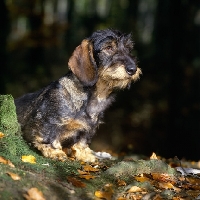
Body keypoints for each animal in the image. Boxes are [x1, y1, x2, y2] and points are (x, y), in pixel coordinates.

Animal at [14, 28, 141, 162]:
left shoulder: (87, 130)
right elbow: (47, 136)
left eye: (128, 49)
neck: (94, 97)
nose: (133, 69)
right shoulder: (47, 121)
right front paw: (55, 152)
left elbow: (82, 142)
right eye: (109, 47)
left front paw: (85, 154)